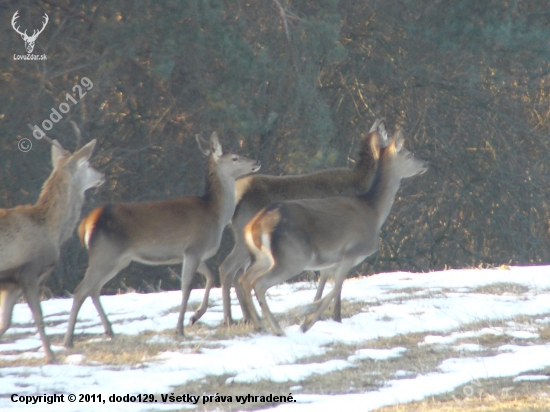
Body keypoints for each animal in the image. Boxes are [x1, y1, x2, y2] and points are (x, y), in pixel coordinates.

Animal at [0, 134, 104, 362]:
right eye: (88, 163)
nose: (102, 176)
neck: (49, 229)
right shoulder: (28, 272)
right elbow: (38, 316)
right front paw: (51, 356)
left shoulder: (12, 283)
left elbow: (5, 323)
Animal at [63, 133, 262, 348]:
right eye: (235, 158)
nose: (256, 162)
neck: (214, 214)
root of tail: (86, 223)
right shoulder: (194, 248)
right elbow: (186, 287)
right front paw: (180, 329)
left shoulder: (191, 253)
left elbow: (209, 276)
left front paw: (195, 315)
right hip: (104, 253)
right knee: (81, 290)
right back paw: (68, 340)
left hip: (118, 259)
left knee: (94, 289)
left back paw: (109, 331)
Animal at [207, 120, 388, 328]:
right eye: (386, 135)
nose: (383, 122)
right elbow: (333, 277)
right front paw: (334, 315)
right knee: (228, 269)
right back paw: (231, 319)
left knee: (239, 273)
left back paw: (248, 317)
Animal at [240, 122, 426, 334]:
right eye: (408, 154)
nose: (425, 163)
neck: (374, 210)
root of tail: (254, 225)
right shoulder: (351, 252)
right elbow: (337, 287)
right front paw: (308, 318)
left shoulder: (331, 261)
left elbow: (327, 286)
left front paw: (310, 319)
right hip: (292, 257)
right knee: (259, 284)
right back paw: (277, 329)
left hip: (263, 258)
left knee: (245, 280)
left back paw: (260, 325)